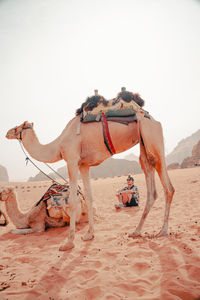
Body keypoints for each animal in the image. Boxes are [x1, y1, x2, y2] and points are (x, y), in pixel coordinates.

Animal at [6, 96, 174, 251]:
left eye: (18, 128)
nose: (7, 133)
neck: (58, 145)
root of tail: (153, 119)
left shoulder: (72, 160)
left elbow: (72, 201)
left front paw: (68, 242)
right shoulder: (84, 165)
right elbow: (89, 198)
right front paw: (89, 235)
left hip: (152, 137)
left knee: (168, 187)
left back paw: (163, 231)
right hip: (143, 145)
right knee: (151, 186)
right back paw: (136, 231)